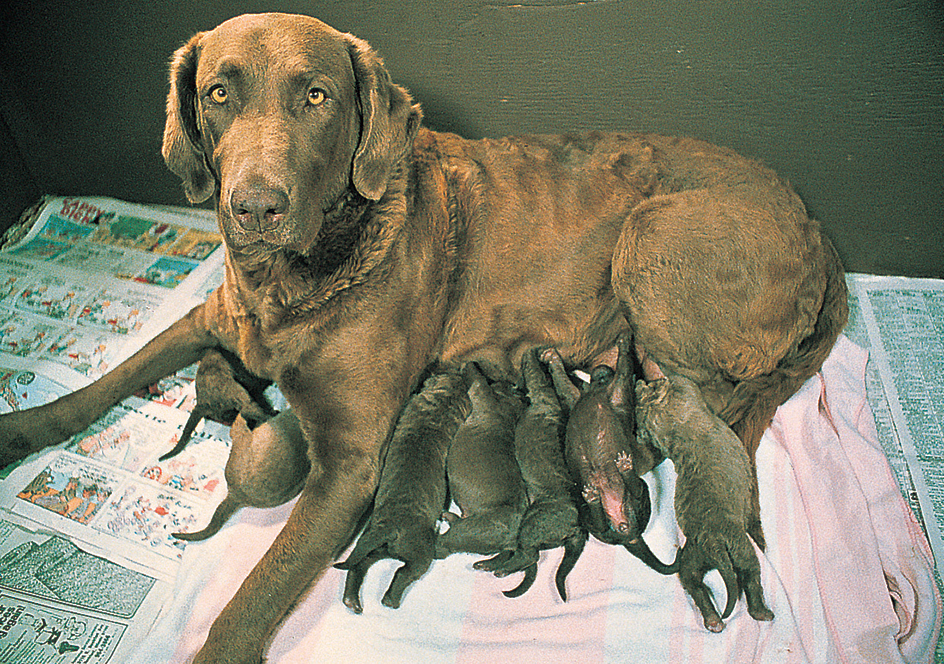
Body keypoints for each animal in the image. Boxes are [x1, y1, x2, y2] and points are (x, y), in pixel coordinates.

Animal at [338, 368, 472, 612]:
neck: (441, 405)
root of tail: (388, 528)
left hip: (372, 545)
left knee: (357, 566)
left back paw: (353, 600)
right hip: (419, 551)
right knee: (404, 572)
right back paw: (390, 601)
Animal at [476, 348, 588, 600]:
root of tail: (577, 528)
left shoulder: (543, 389)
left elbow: (537, 374)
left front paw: (537, 355)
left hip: (533, 522)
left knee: (528, 555)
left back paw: (498, 570)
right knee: (517, 551)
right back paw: (487, 564)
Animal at [636, 374, 776, 632]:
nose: (641, 382)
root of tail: (714, 541)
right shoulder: (684, 391)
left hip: (693, 554)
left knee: (692, 581)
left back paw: (713, 621)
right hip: (740, 547)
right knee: (751, 575)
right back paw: (762, 613)